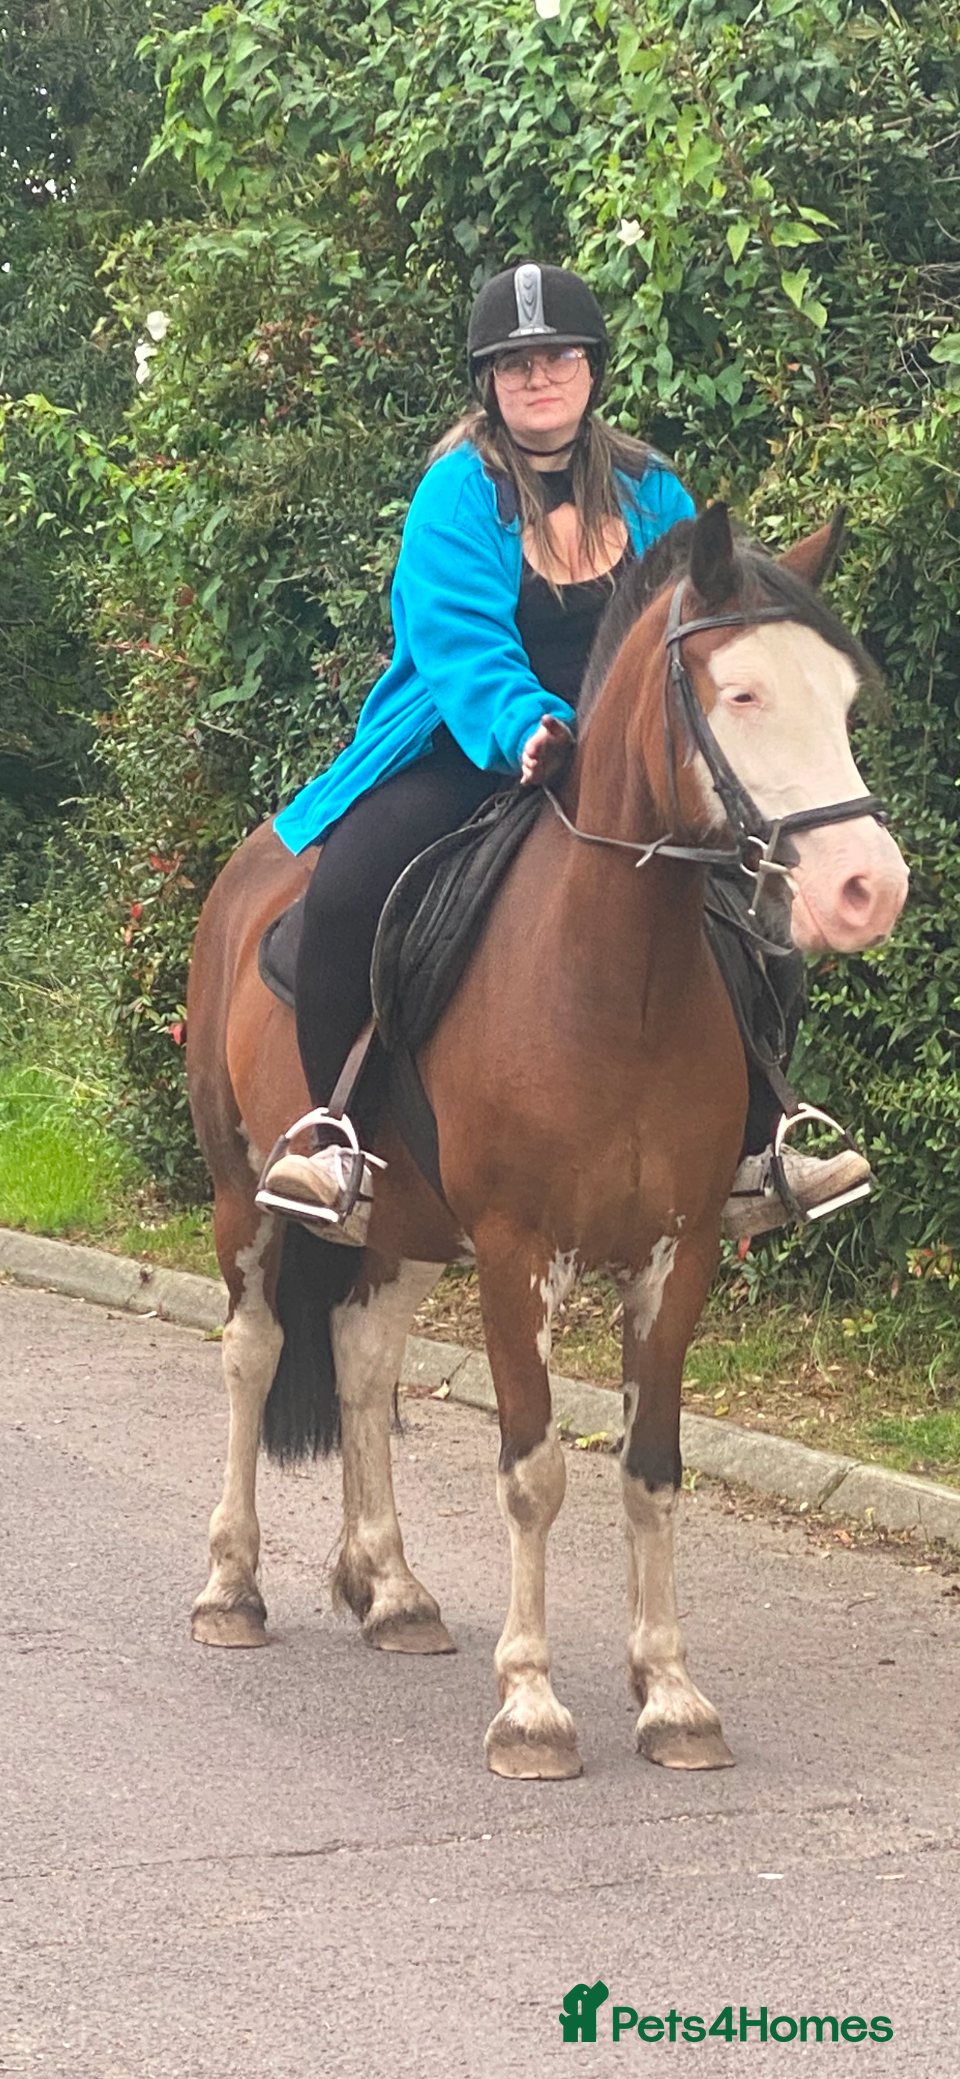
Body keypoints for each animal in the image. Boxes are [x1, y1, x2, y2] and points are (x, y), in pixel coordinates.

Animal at [185, 503, 908, 1780]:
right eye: (742, 694)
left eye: (842, 699)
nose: (871, 887)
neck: (618, 975)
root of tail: (255, 865)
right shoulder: (520, 1255)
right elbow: (532, 1471)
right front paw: (530, 1704)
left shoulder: (678, 1256)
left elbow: (652, 1471)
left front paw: (672, 1696)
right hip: (246, 1200)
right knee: (254, 1353)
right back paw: (233, 1587)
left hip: (408, 1228)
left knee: (363, 1359)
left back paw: (393, 1589)